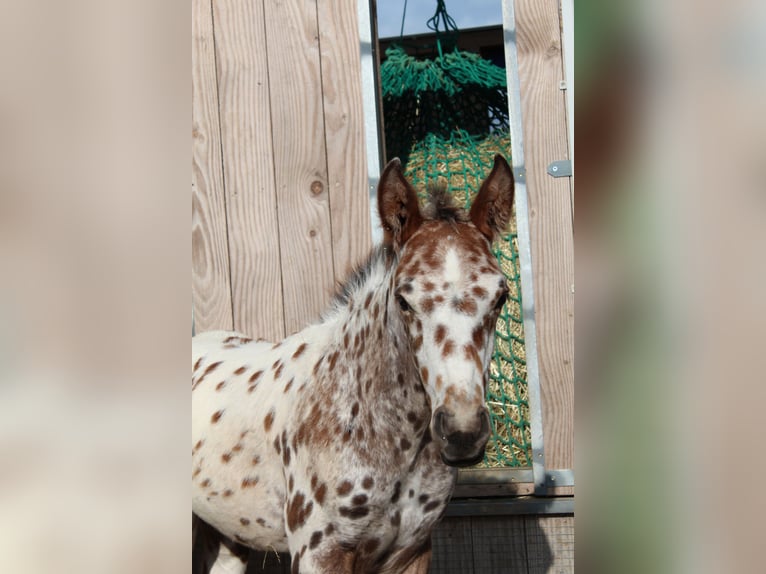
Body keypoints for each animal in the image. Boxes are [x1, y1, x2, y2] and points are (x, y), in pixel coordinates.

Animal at [192, 155, 516, 572]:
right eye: (404, 299)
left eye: (501, 297)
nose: (462, 432)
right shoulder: (320, 554)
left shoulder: (411, 553)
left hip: (228, 537)